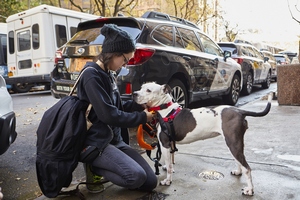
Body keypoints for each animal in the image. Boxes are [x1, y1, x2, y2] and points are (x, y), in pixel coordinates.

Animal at [132, 82, 274, 196]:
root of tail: (240, 111)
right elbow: (170, 161)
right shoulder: (170, 144)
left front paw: (167, 180)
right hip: (233, 143)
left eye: (148, 90)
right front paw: (168, 167)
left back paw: (249, 190)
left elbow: (169, 163)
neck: (165, 109)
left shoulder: (165, 144)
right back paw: (238, 172)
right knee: (239, 161)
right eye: (141, 87)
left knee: (247, 168)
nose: (134, 93)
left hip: (233, 143)